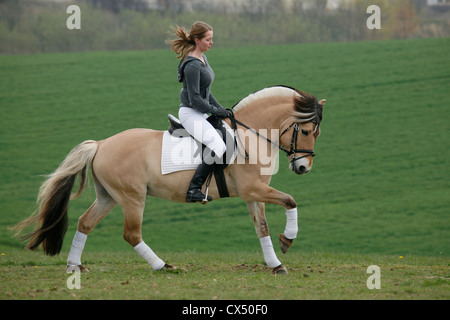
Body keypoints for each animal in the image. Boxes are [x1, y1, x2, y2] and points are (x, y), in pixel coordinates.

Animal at [12, 85, 326, 276]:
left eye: (316, 133)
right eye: (306, 131)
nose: (303, 167)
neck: (251, 134)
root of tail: (100, 144)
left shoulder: (253, 194)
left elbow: (262, 228)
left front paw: (276, 264)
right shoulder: (255, 189)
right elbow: (290, 201)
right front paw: (287, 240)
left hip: (109, 196)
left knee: (85, 223)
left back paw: (74, 266)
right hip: (132, 198)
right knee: (131, 234)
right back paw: (163, 266)